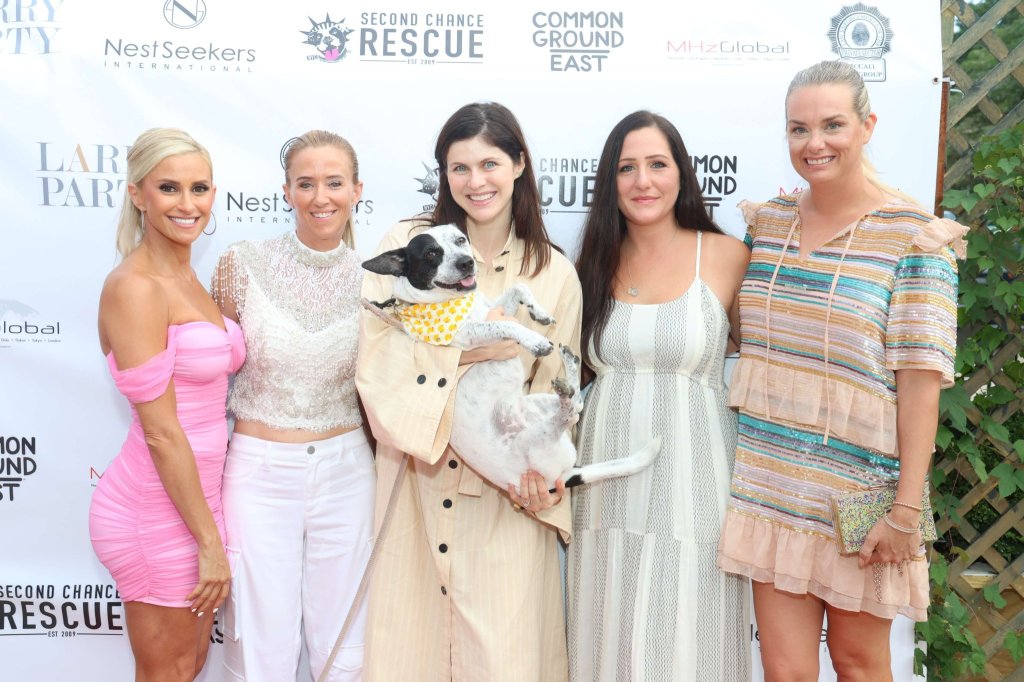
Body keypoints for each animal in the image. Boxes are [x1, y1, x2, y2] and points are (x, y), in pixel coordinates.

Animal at [364, 223, 659, 493]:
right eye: (430, 254)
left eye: (460, 240)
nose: (467, 262)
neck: (449, 301)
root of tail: (565, 475)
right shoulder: (467, 335)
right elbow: (507, 325)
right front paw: (535, 341)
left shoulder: (494, 308)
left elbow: (518, 289)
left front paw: (539, 313)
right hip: (534, 441)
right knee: (566, 415)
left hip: (537, 403)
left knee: (576, 406)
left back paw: (569, 368)